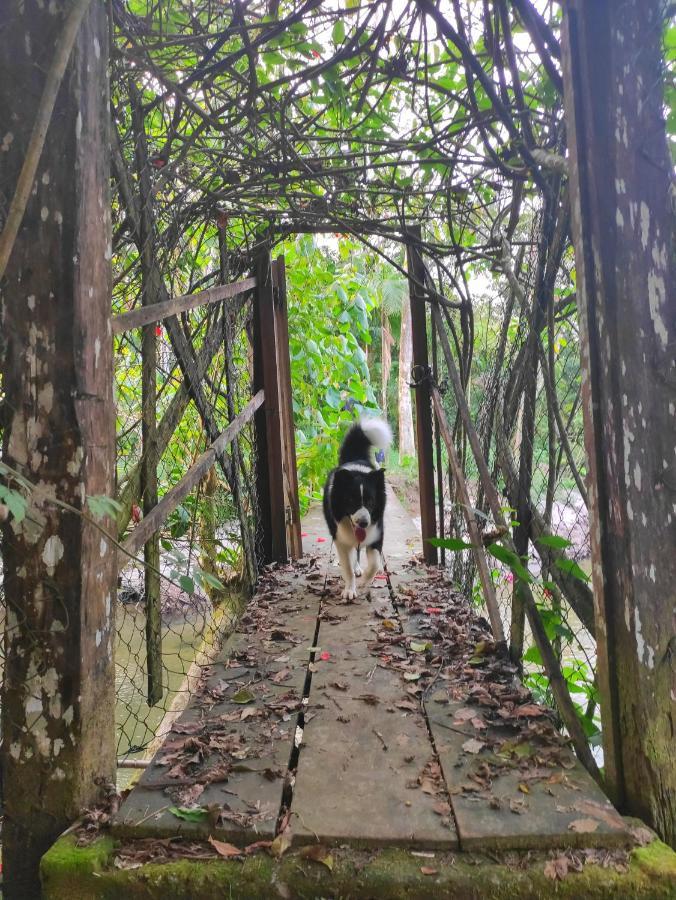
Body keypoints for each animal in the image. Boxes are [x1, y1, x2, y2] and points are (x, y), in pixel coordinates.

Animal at [322, 418, 390, 600]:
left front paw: (365, 581)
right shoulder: (340, 538)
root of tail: (354, 457)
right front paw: (349, 590)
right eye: (351, 501)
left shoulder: (376, 534)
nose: (363, 523)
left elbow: (375, 564)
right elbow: (347, 567)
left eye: (371, 501)